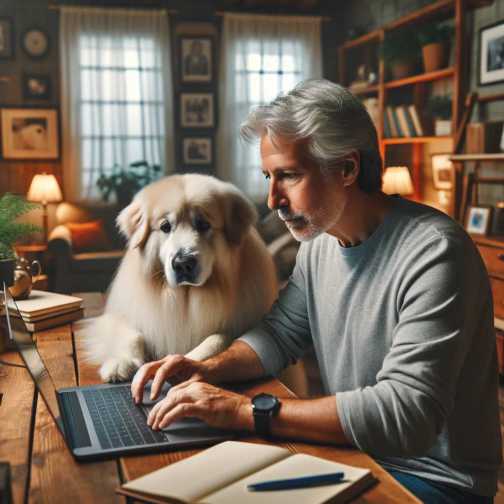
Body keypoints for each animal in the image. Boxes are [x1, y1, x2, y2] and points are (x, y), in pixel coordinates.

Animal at [84, 173, 278, 382]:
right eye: (165, 227)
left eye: (203, 224)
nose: (183, 263)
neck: (186, 297)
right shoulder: (122, 315)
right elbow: (130, 333)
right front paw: (121, 363)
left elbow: (218, 338)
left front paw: (181, 362)